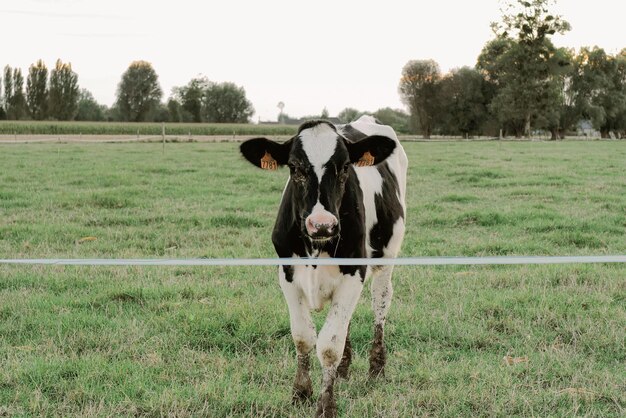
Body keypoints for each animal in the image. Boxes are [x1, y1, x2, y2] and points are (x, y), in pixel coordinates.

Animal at [238, 115, 404, 418]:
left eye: (346, 166)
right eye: (294, 167)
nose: (323, 224)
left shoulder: (354, 272)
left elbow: (329, 345)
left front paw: (326, 405)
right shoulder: (287, 274)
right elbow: (303, 336)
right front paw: (301, 392)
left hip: (387, 257)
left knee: (381, 302)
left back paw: (376, 368)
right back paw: (345, 369)